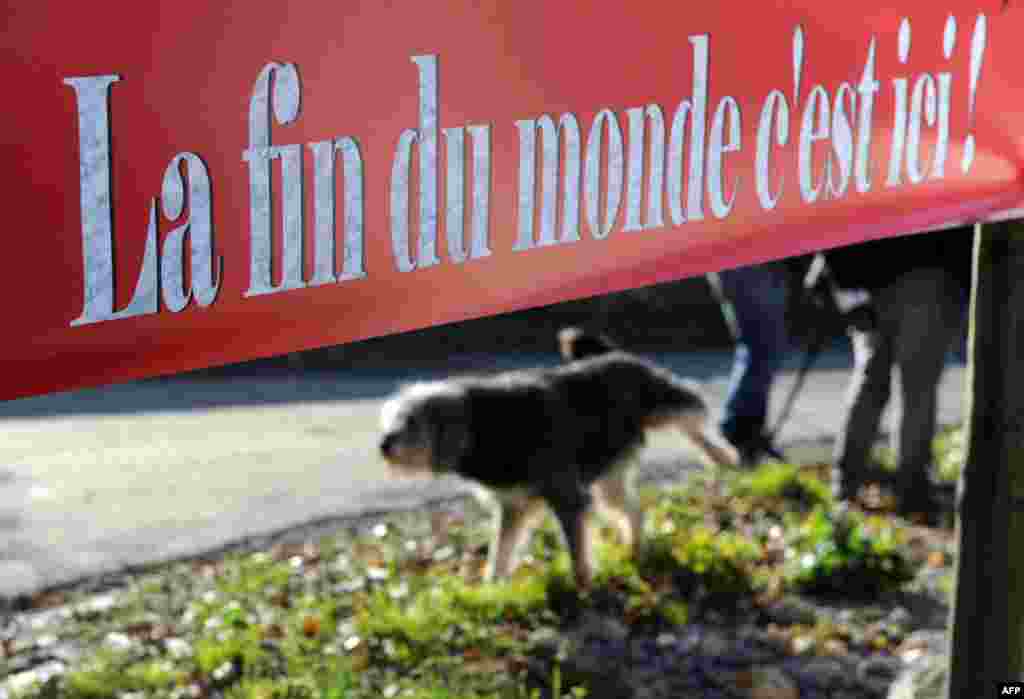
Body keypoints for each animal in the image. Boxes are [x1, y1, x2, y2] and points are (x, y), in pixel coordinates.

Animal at [378, 333, 737, 585]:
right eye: (390, 419)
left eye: (410, 422)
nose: (383, 444)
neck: (487, 426)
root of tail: (610, 354)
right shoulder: (514, 506)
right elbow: (501, 549)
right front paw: (493, 585)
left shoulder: (566, 496)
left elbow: (575, 547)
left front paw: (582, 583)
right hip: (610, 479)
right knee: (633, 511)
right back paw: (635, 548)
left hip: (661, 402)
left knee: (692, 411)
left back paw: (721, 454)